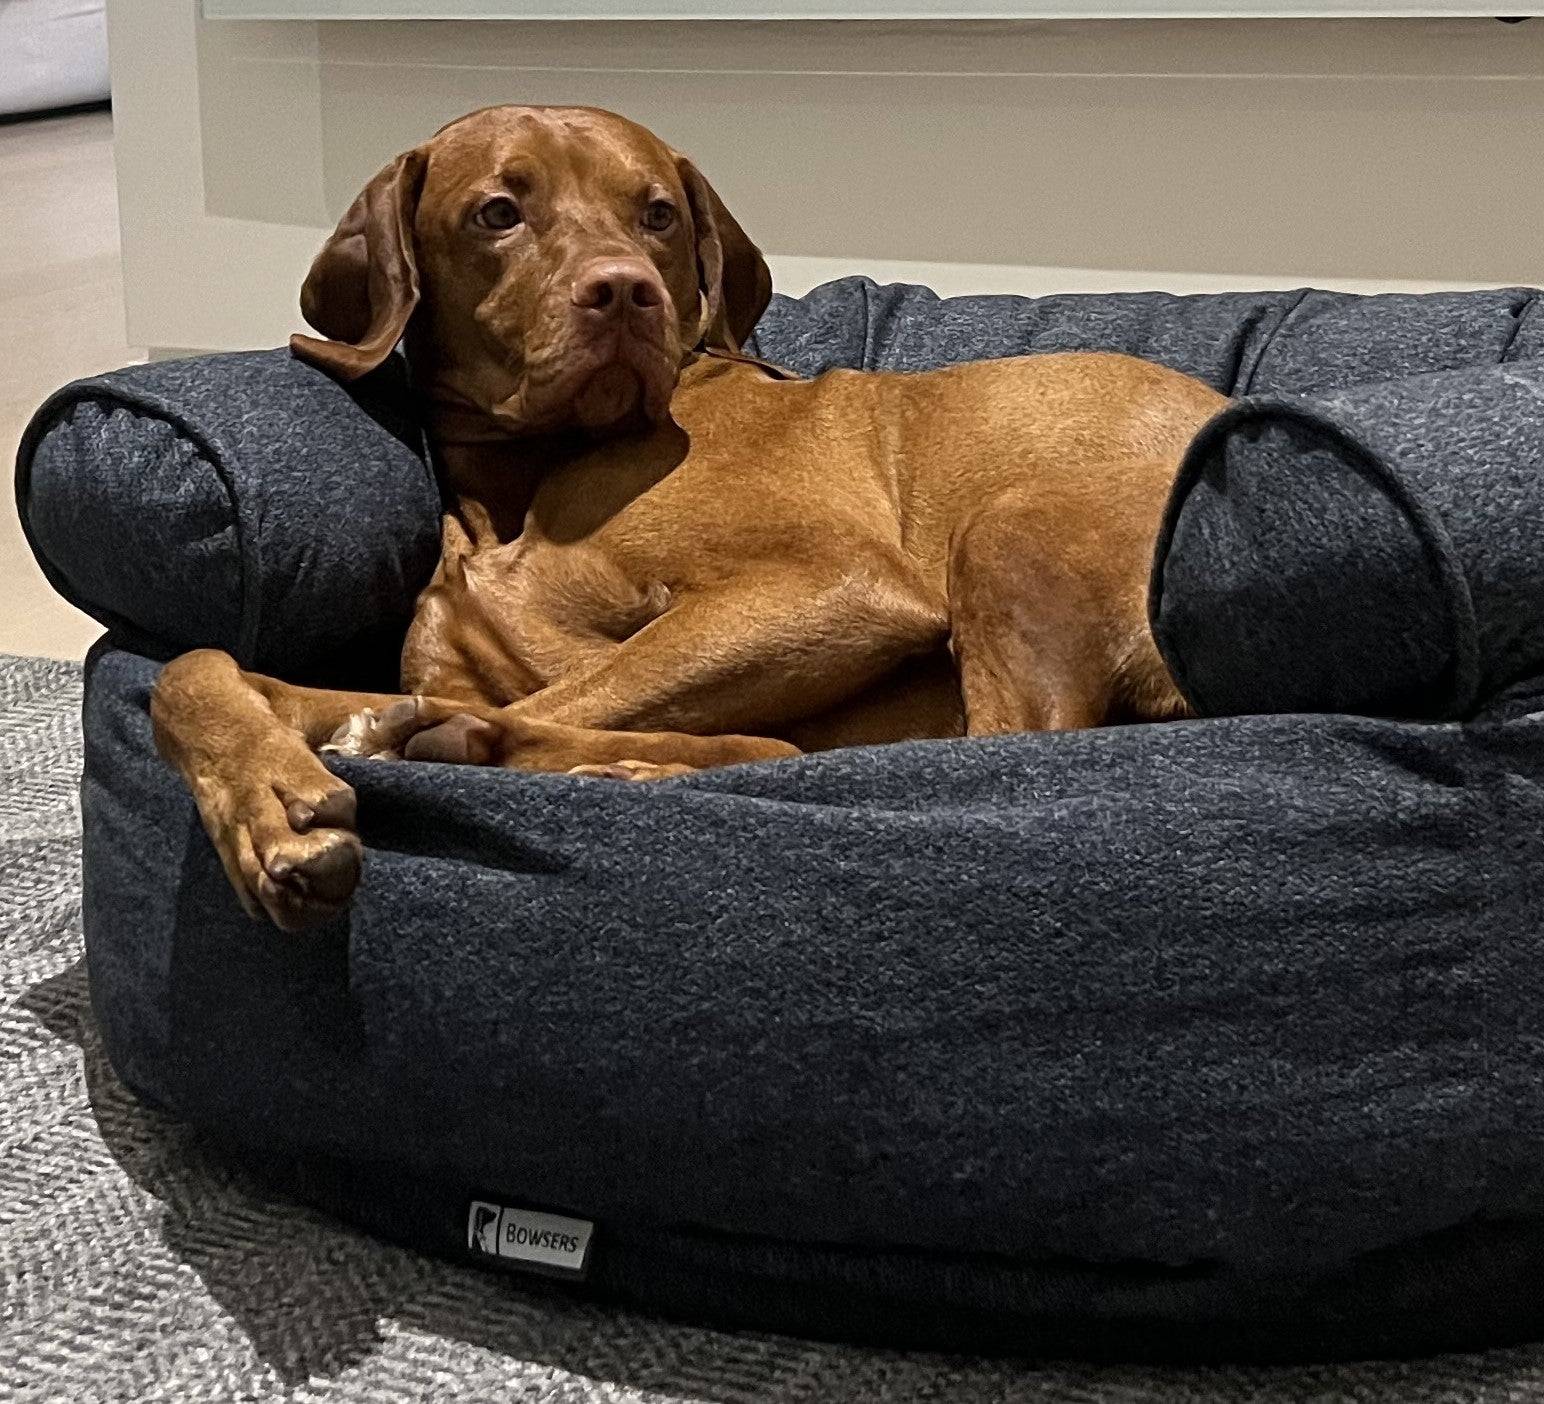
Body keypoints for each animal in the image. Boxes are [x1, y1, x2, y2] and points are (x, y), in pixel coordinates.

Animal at [147, 106, 1229, 932]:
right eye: (498, 212)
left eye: (657, 213)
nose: (623, 291)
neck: (529, 482)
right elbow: (190, 668)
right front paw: (264, 801)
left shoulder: (840, 588)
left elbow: (570, 697)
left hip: (1008, 526)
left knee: (986, 751)